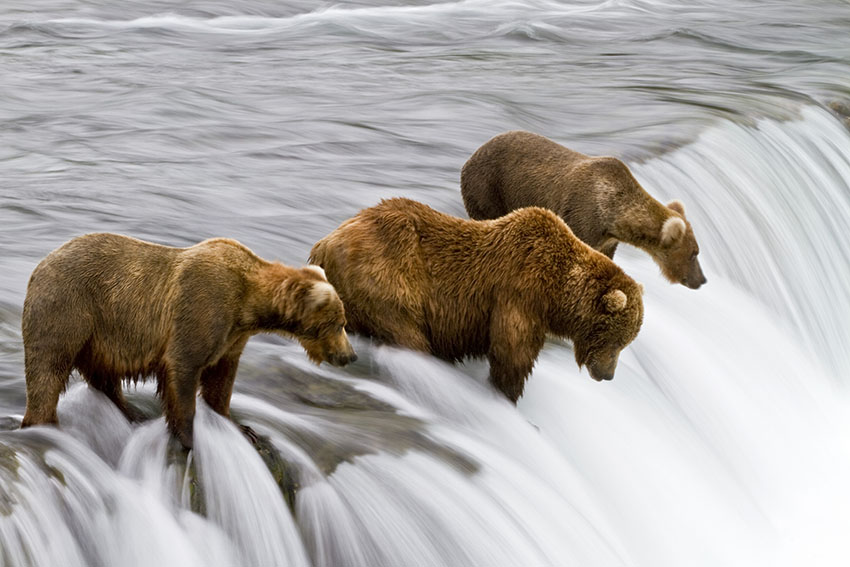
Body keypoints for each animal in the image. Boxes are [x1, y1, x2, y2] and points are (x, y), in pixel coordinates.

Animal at [19, 233, 358, 450]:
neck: (248, 306)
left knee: (103, 373)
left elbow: (221, 380)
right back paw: (47, 427)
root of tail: (37, 267)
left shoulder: (232, 337)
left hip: (102, 332)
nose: (350, 356)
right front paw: (190, 436)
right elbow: (183, 369)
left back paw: (131, 413)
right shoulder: (202, 306)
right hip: (69, 307)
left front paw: (242, 428)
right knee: (48, 369)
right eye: (340, 323)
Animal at [308, 200, 640, 404]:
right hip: (387, 277)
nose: (607, 374)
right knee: (407, 335)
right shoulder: (519, 292)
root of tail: (324, 243)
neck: (556, 290)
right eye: (615, 339)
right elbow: (512, 352)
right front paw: (507, 396)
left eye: (626, 342)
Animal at [460, 131, 704, 290]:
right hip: (488, 189)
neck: (612, 216)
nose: (702, 280)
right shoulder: (581, 218)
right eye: (694, 253)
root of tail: (471, 155)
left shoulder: (607, 240)